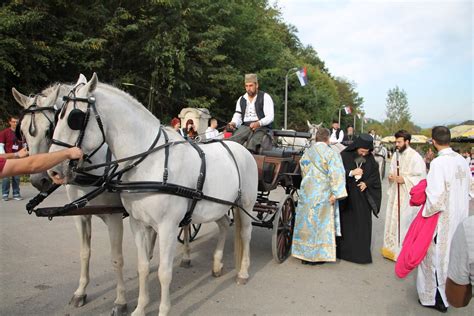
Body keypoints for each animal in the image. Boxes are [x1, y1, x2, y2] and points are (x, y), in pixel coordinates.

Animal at [46, 73, 258, 316]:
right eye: (58, 116)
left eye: (75, 118)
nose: (53, 171)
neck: (149, 162)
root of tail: (243, 150)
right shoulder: (138, 224)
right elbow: (143, 267)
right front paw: (140, 308)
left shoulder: (167, 227)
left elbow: (164, 273)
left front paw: (163, 310)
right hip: (219, 206)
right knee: (223, 225)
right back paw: (216, 265)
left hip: (245, 206)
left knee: (245, 234)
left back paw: (243, 273)